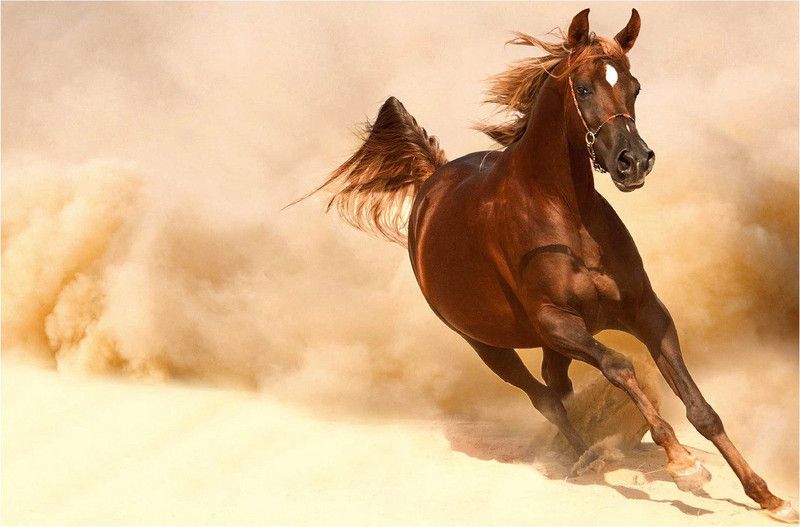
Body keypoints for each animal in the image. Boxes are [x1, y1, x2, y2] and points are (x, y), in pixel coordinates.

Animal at [310, 8, 797, 522]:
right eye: (582, 88)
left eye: (634, 86)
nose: (634, 162)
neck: (566, 217)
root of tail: (432, 181)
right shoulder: (558, 323)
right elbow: (620, 365)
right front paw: (682, 463)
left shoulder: (646, 312)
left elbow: (701, 407)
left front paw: (767, 496)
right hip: (488, 345)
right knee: (544, 398)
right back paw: (585, 457)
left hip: (550, 346)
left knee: (556, 387)